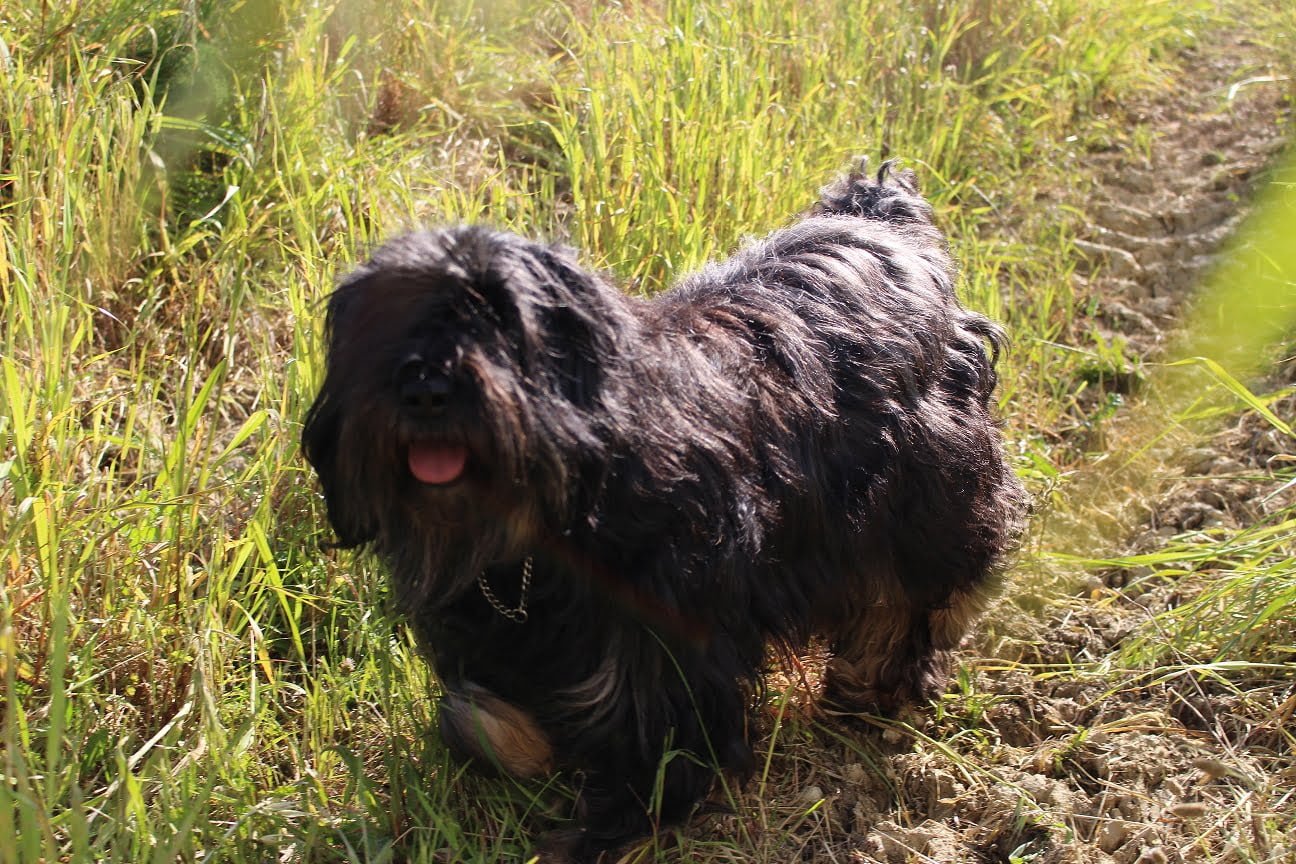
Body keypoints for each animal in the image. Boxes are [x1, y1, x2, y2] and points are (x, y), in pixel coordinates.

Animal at [300, 160, 1021, 860]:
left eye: (500, 319)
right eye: (387, 322)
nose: (425, 389)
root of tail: (880, 216)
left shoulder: (667, 631)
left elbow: (656, 734)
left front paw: (609, 826)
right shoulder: (496, 628)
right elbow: (486, 719)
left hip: (929, 495)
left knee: (917, 595)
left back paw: (878, 684)